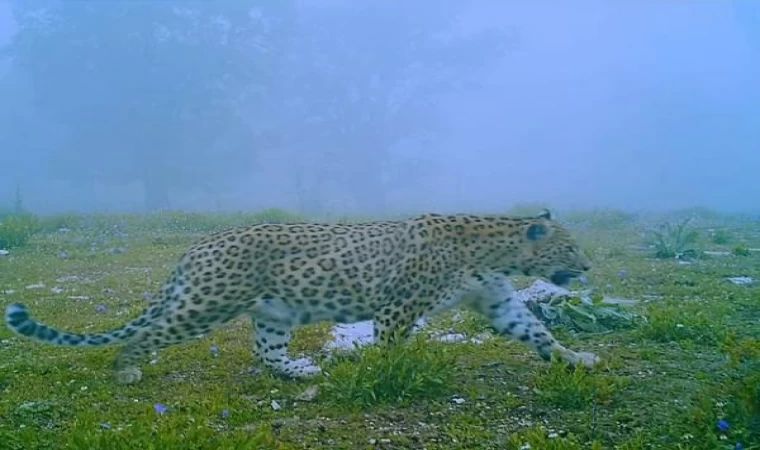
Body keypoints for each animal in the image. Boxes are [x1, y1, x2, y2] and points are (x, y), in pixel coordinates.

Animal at [4, 209, 600, 384]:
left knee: (267, 353)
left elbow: (538, 332)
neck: (498, 252)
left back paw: (299, 371)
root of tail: (196, 246)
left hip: (274, 312)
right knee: (150, 331)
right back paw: (127, 369)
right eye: (570, 247)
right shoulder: (398, 306)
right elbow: (391, 345)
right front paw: (387, 373)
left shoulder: (498, 302)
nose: (589, 266)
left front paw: (575, 358)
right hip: (206, 303)